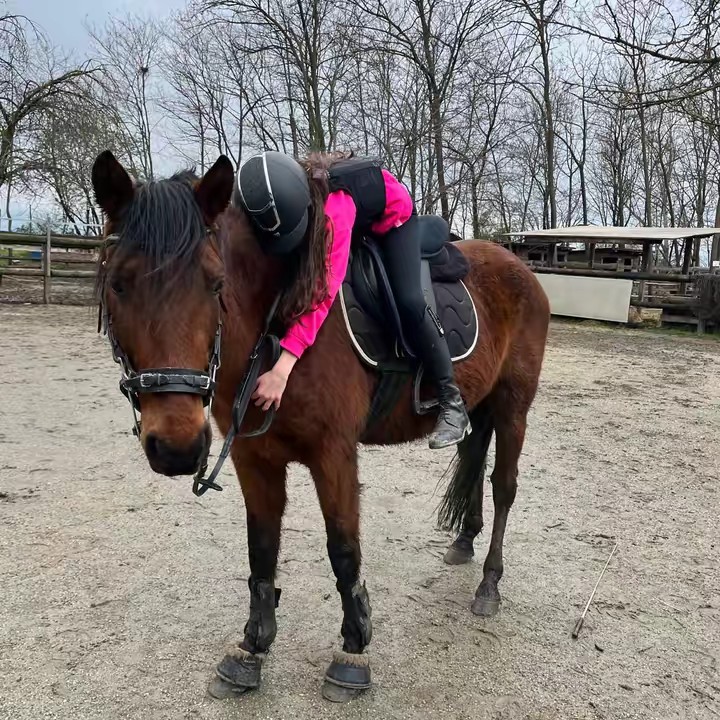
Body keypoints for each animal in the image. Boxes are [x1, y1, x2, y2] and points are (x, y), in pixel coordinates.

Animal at [91, 150, 550, 702]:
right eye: (118, 283)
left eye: (215, 284)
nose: (177, 446)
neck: (274, 327)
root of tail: (518, 265)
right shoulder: (253, 457)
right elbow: (262, 549)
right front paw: (252, 648)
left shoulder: (334, 454)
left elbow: (344, 550)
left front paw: (352, 652)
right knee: (474, 461)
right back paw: (464, 542)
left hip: (513, 406)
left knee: (504, 486)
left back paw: (489, 583)